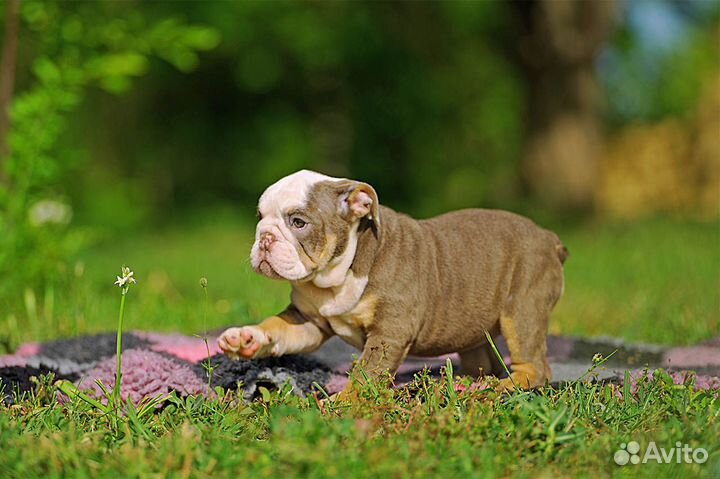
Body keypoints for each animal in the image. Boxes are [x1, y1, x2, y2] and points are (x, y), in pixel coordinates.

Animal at [218, 171, 568, 392]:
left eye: (299, 222)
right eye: (260, 217)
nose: (265, 238)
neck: (335, 275)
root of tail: (549, 238)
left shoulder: (390, 331)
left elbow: (367, 372)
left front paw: (344, 405)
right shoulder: (307, 320)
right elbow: (279, 328)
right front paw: (245, 339)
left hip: (522, 310)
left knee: (536, 367)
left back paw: (504, 387)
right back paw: (469, 382)